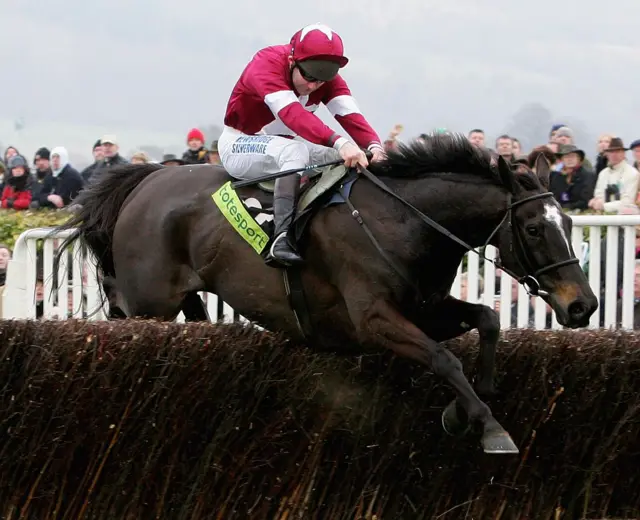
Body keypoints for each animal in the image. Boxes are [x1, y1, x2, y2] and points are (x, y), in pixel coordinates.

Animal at [52, 135, 596, 456]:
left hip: (187, 301)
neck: (404, 222)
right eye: (533, 228)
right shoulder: (373, 320)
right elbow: (444, 359)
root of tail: (146, 177)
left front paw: (465, 407)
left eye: (569, 223)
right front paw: (487, 425)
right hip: (150, 307)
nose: (583, 304)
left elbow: (487, 319)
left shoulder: (427, 307)